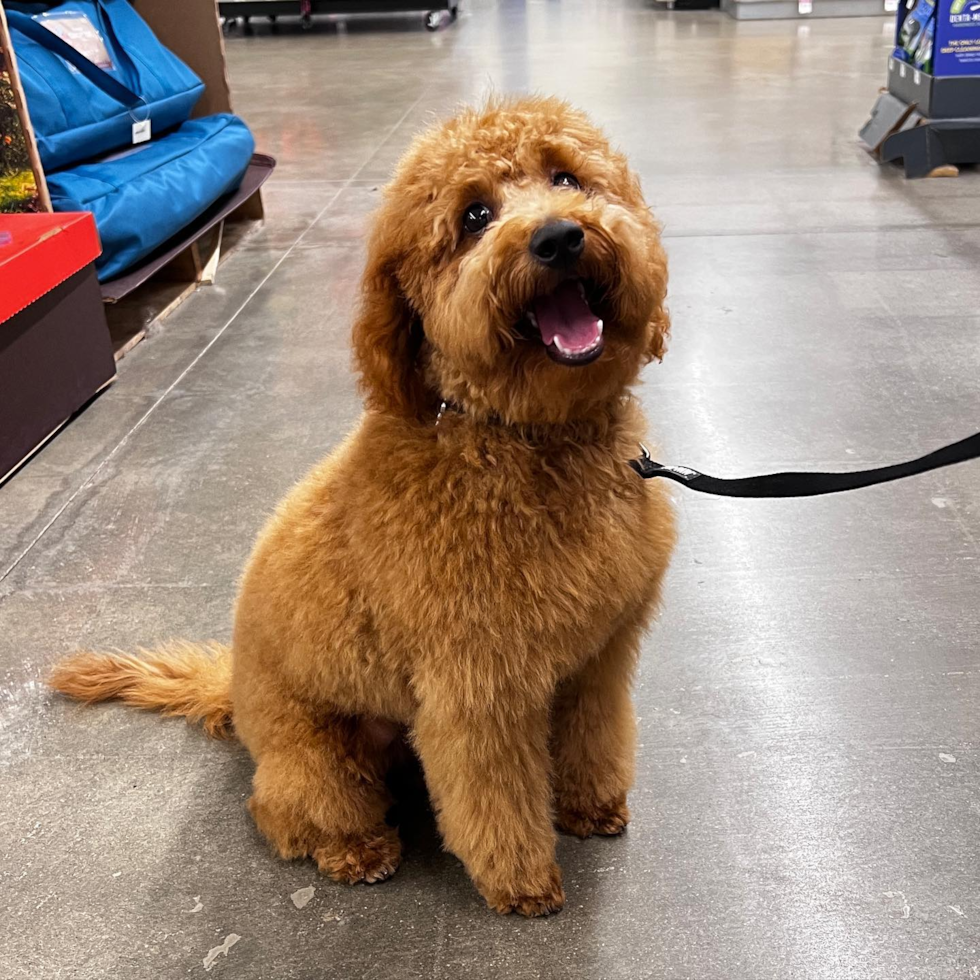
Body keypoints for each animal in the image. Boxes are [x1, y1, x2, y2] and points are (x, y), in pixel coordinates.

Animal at [49, 95, 676, 916]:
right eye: (474, 215)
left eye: (567, 177)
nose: (559, 237)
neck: (525, 438)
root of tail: (234, 696)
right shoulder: (479, 688)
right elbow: (496, 795)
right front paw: (521, 882)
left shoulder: (599, 658)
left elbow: (594, 736)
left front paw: (590, 805)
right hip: (318, 753)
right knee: (281, 814)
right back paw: (354, 850)